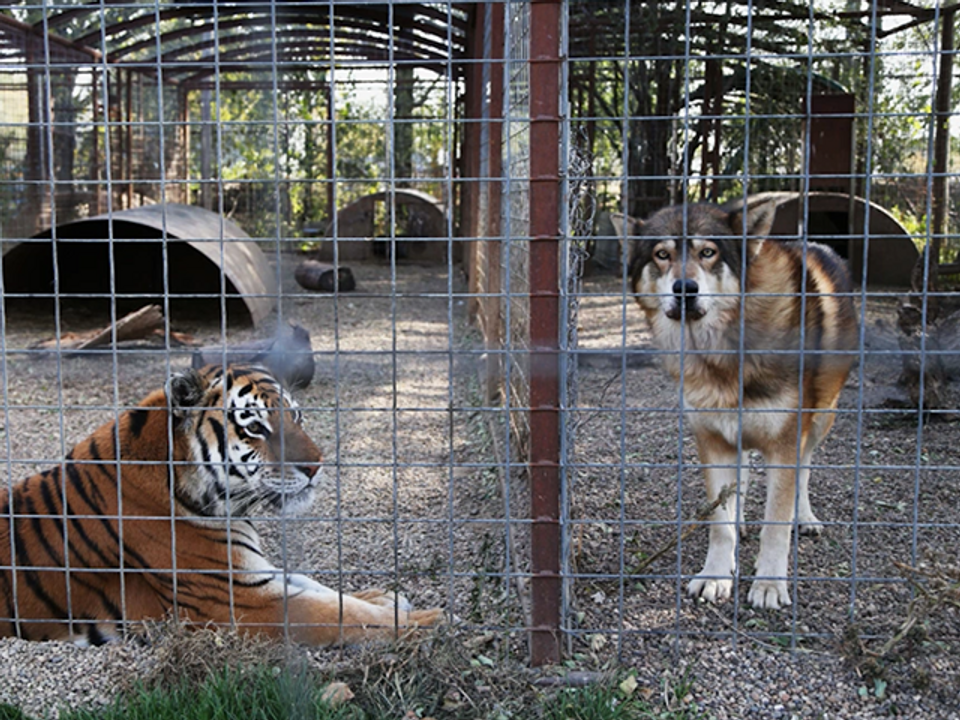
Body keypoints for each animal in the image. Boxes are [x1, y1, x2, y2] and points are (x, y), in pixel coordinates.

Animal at [0, 366, 442, 648]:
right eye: (255, 427)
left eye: (297, 416)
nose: (317, 466)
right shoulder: (241, 600)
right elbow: (337, 613)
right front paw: (431, 622)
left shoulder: (252, 575)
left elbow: (318, 587)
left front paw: (383, 597)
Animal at [620, 197, 860, 608]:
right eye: (662, 254)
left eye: (708, 252)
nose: (685, 289)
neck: (722, 355)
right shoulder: (713, 440)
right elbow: (720, 524)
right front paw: (716, 574)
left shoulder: (784, 443)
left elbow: (776, 524)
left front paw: (769, 586)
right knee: (744, 475)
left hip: (821, 419)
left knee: (805, 470)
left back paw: (806, 518)